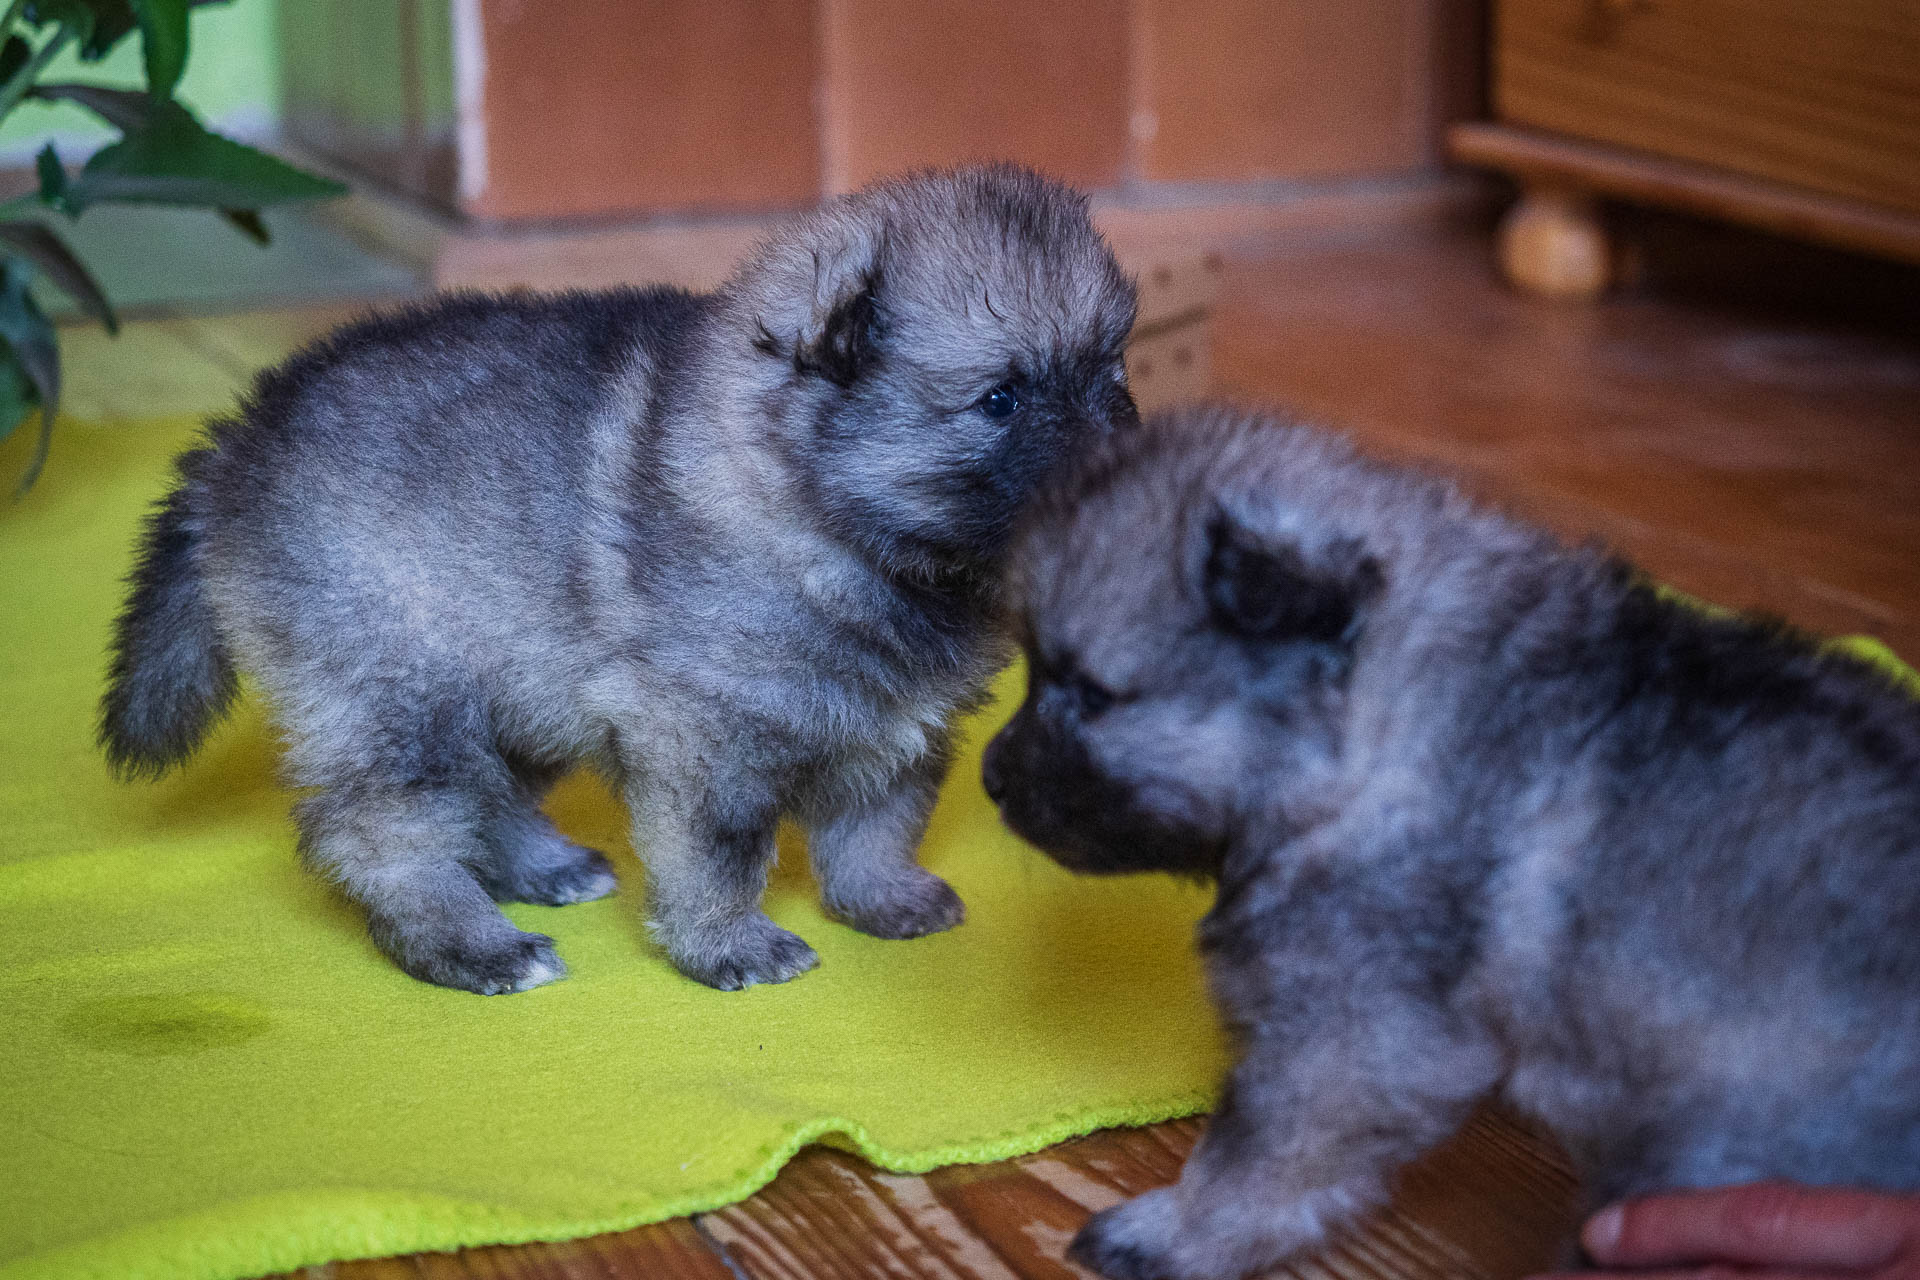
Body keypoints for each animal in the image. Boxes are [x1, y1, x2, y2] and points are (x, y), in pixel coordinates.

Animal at [105, 165, 1136, 997]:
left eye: (1111, 376)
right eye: (1000, 399)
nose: (1125, 460)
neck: (822, 516)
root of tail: (235, 444)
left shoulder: (892, 725)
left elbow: (875, 825)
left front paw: (883, 899)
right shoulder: (705, 736)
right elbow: (721, 855)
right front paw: (730, 945)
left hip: (516, 685)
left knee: (492, 795)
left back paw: (546, 869)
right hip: (404, 690)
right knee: (383, 833)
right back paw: (476, 946)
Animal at [990, 408, 1920, 1280]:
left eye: (1092, 695)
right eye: (1033, 672)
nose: (993, 778)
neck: (1384, 729)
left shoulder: (1349, 1040)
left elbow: (1248, 1162)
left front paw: (1172, 1233)